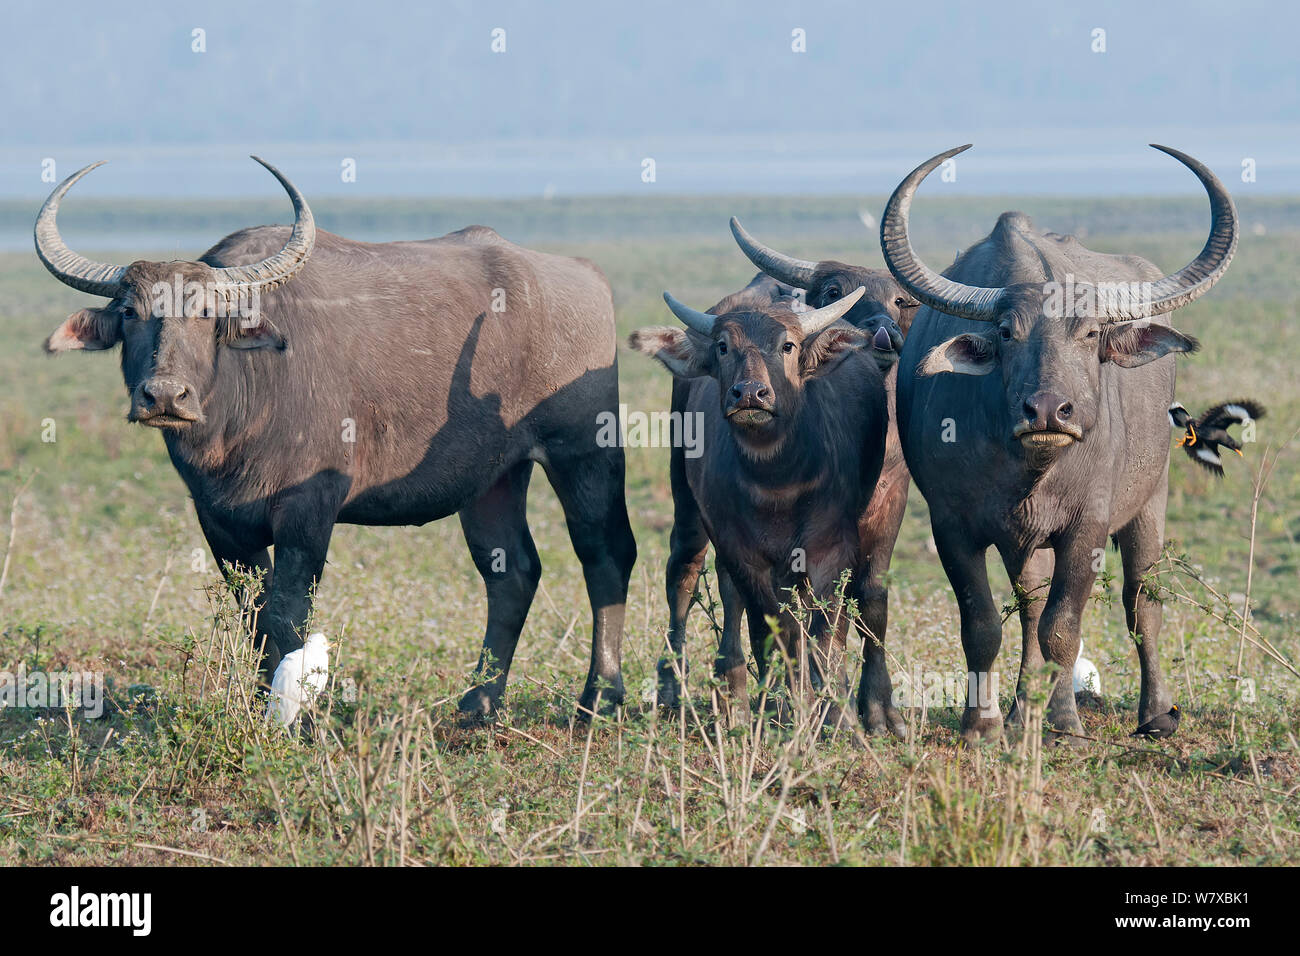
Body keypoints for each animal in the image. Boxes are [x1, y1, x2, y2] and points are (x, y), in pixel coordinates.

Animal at [35, 160, 634, 723]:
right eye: (130, 313)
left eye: (206, 313)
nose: (164, 395)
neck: (239, 415)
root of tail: (587, 279)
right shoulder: (219, 522)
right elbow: (254, 615)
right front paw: (266, 706)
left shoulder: (309, 509)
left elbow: (287, 612)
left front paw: (296, 717)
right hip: (494, 479)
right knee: (511, 572)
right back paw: (478, 703)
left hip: (584, 453)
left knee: (605, 553)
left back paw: (599, 698)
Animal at [629, 283, 904, 733]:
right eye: (723, 347)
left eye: (787, 346)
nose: (750, 394)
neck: (778, 482)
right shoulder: (741, 552)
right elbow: (766, 631)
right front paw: (777, 708)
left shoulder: (832, 551)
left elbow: (826, 635)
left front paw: (839, 717)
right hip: (686, 502)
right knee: (685, 577)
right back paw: (688, 691)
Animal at [878, 143, 1232, 738]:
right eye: (1006, 332)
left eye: (1089, 333)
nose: (1047, 410)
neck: (1030, 471)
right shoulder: (952, 527)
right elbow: (983, 624)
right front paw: (982, 723)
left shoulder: (1086, 525)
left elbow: (1064, 625)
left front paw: (1064, 721)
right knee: (1028, 608)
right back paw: (1023, 708)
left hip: (1151, 499)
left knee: (1141, 601)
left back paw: (1154, 713)